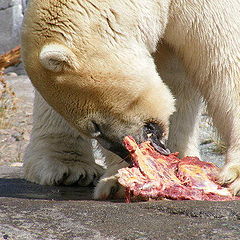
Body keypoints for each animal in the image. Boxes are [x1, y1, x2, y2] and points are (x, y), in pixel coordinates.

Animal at [20, 0, 240, 199]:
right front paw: (117, 182)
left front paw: (232, 178)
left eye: (95, 126)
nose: (125, 154)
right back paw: (69, 167)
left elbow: (225, 62)